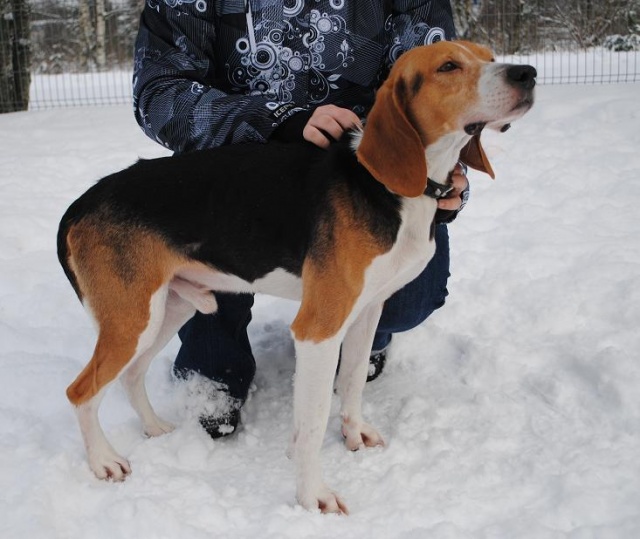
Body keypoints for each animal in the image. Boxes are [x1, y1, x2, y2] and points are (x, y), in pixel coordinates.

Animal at [57, 40, 535, 514]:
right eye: (448, 66)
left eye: (490, 58)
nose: (526, 74)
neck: (395, 186)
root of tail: (81, 203)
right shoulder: (318, 330)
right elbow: (311, 425)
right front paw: (312, 496)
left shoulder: (367, 312)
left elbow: (353, 382)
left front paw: (354, 434)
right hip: (132, 319)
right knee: (80, 392)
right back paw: (103, 461)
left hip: (166, 308)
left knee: (130, 376)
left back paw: (155, 427)